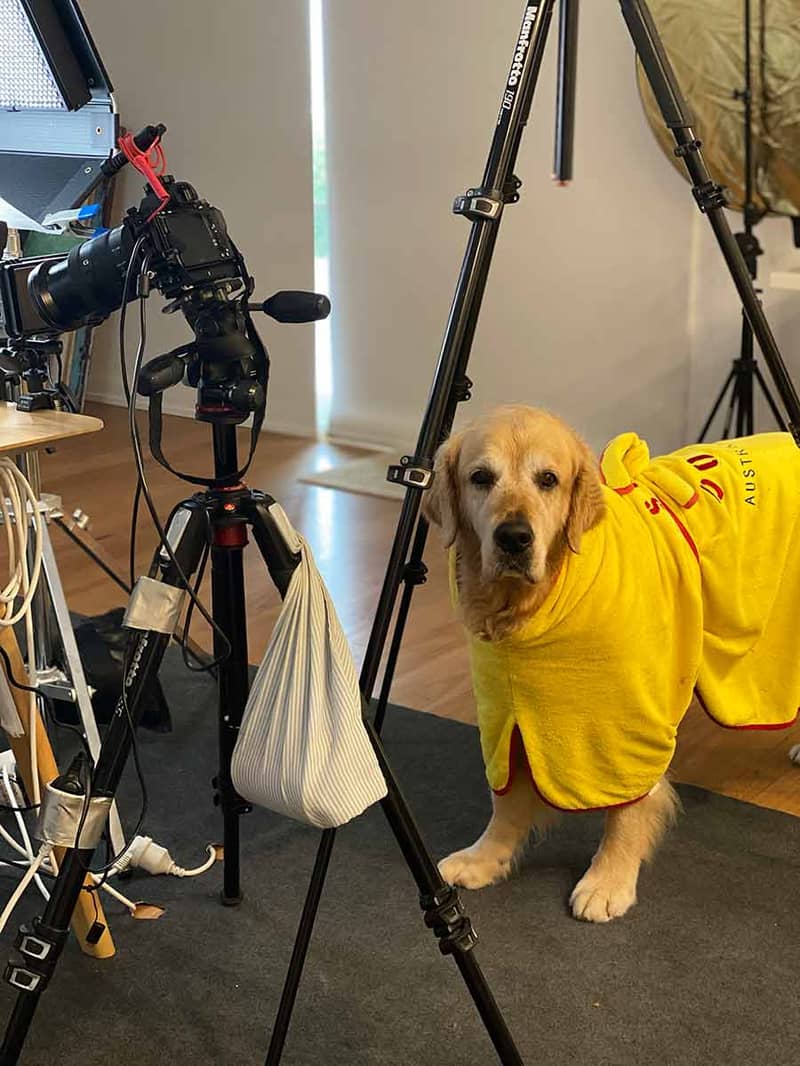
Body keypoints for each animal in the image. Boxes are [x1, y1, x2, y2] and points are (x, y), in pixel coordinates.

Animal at [423, 405, 800, 922]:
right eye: (480, 477)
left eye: (548, 479)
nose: (514, 538)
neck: (534, 608)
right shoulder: (505, 712)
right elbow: (507, 801)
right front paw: (486, 858)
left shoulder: (629, 724)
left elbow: (626, 808)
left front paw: (608, 881)